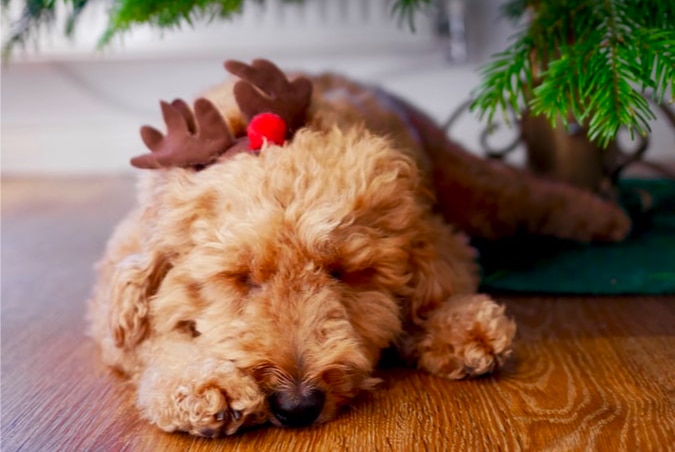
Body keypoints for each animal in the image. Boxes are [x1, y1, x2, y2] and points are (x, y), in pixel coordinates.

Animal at [87, 58, 632, 436]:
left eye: (342, 271)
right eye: (241, 277)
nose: (297, 406)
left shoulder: (432, 228)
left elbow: (436, 286)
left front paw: (461, 327)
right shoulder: (117, 294)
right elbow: (154, 340)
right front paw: (202, 384)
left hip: (468, 181)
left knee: (529, 194)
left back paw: (611, 217)